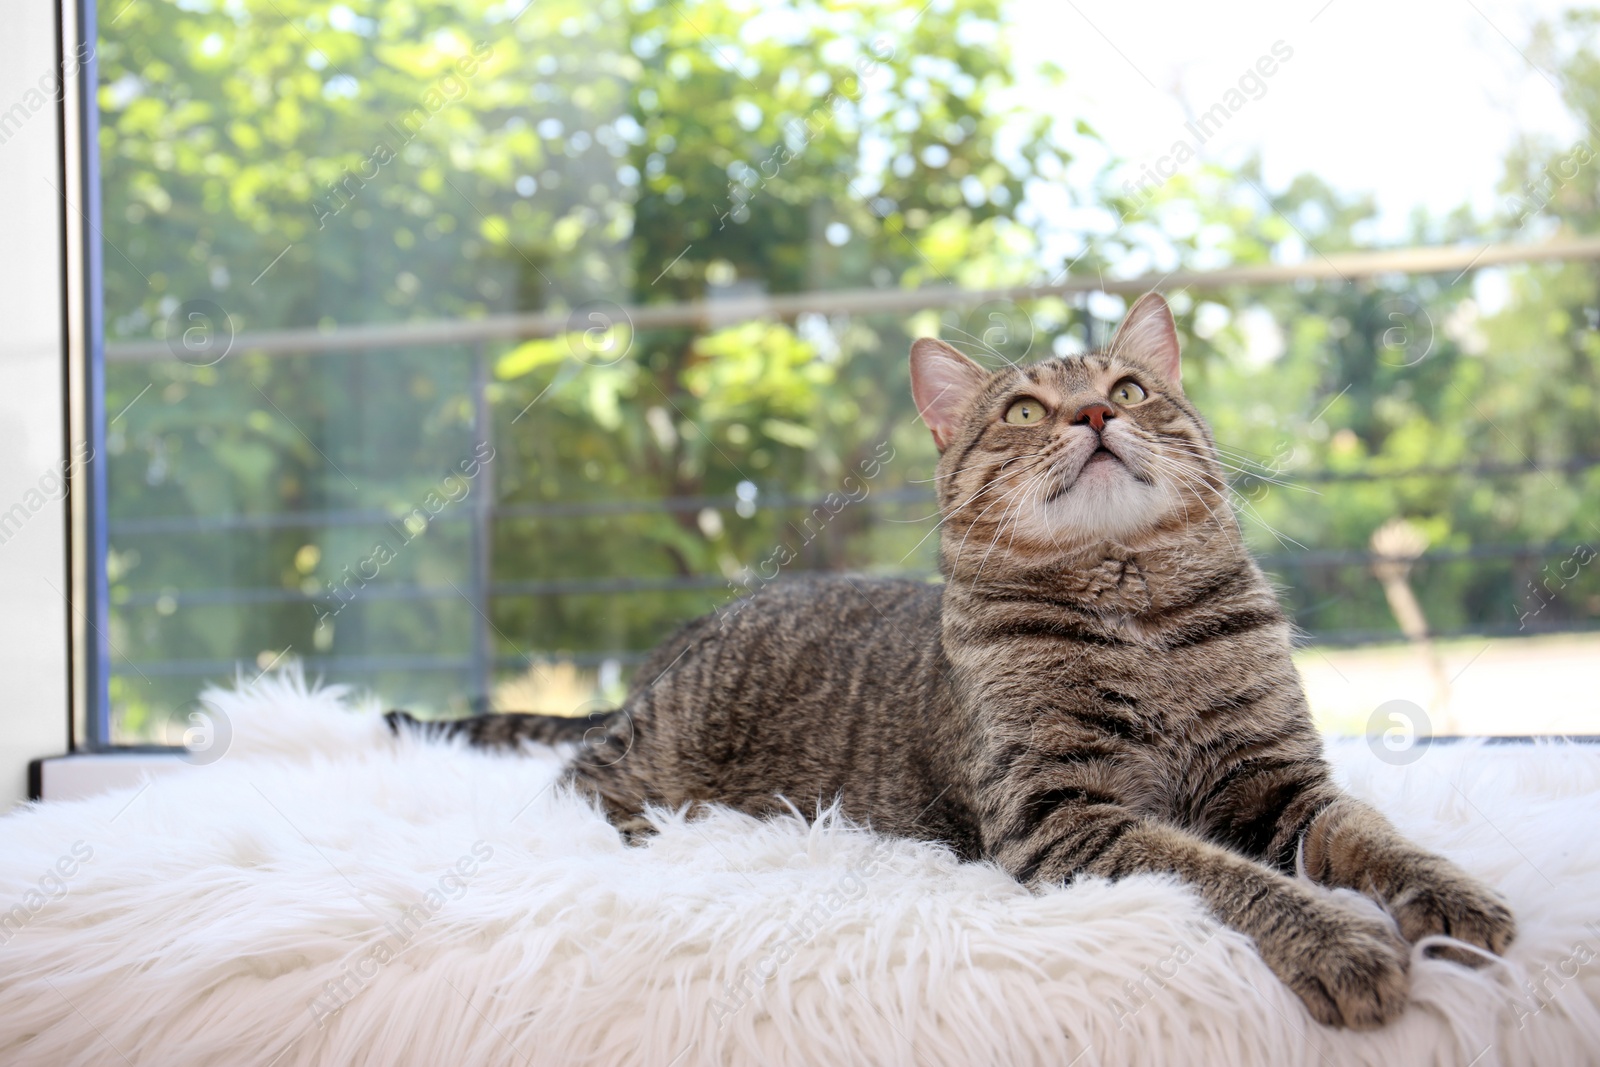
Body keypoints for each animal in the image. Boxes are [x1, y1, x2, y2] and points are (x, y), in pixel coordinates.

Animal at [390, 294, 1510, 1036]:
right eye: (1022, 410)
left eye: (1131, 388)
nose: (1094, 414)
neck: (1135, 609)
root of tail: (688, 634)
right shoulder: (1064, 811)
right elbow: (1222, 874)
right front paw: (1338, 938)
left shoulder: (1278, 779)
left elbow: (1374, 836)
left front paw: (1450, 895)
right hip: (649, 756)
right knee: (572, 782)